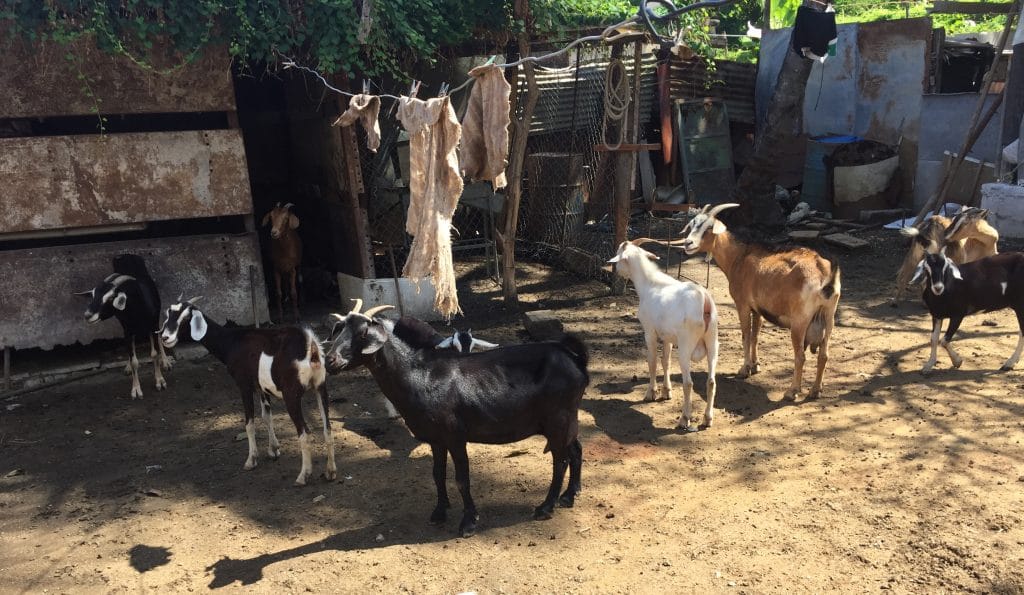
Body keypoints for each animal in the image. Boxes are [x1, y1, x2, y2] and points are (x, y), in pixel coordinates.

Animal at [76, 251, 171, 397]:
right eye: (93, 295)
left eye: (111, 297)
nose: (88, 315)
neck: (138, 310)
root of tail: (126, 255)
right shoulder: (128, 330)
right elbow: (134, 361)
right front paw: (136, 389)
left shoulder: (152, 325)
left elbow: (154, 354)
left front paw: (160, 381)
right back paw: (127, 366)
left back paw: (165, 362)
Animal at [159, 294, 335, 485]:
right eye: (169, 313)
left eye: (185, 319)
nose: (165, 338)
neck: (232, 342)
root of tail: (310, 346)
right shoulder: (261, 387)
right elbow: (266, 416)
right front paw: (274, 449)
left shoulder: (244, 385)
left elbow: (249, 423)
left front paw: (251, 460)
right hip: (320, 387)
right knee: (327, 428)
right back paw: (330, 472)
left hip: (292, 395)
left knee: (304, 433)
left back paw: (303, 475)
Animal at [323, 299, 589, 536]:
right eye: (339, 328)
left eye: (362, 333)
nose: (330, 361)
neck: (420, 376)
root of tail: (575, 359)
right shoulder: (436, 439)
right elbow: (437, 474)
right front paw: (439, 512)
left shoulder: (455, 436)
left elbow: (462, 479)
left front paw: (469, 522)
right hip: (565, 419)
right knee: (575, 450)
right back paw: (569, 495)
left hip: (558, 419)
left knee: (560, 461)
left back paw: (545, 508)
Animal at [606, 238, 720, 430]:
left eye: (618, 255)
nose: (616, 271)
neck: (650, 284)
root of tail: (704, 300)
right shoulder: (668, 337)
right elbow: (665, 361)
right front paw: (666, 392)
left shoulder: (649, 332)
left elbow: (652, 361)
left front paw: (651, 393)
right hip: (713, 342)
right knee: (711, 381)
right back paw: (707, 419)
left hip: (686, 346)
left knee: (688, 383)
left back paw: (684, 419)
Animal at [679, 202, 839, 399]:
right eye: (693, 224)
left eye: (709, 227)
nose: (688, 243)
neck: (738, 257)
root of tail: (823, 273)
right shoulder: (758, 310)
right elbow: (755, 336)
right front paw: (755, 366)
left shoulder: (742, 304)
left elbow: (746, 335)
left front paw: (744, 369)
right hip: (829, 317)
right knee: (824, 355)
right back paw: (815, 391)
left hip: (800, 321)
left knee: (800, 356)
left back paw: (792, 391)